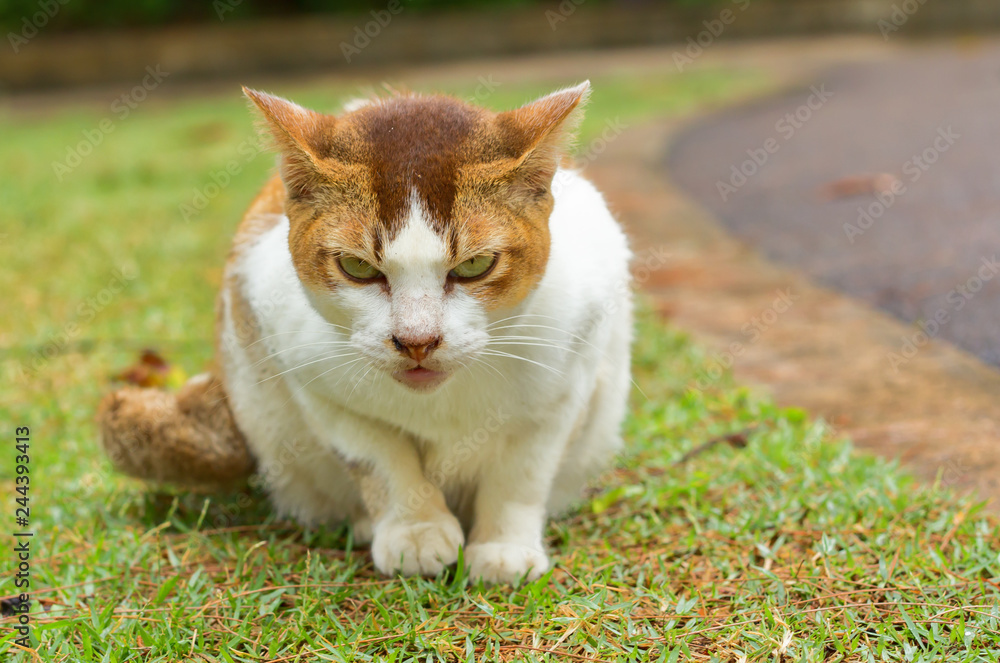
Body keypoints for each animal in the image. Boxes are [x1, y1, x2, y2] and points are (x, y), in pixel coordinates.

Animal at [99, 80, 632, 584]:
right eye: (356, 267)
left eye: (475, 265)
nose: (417, 341)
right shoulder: (305, 367)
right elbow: (378, 455)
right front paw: (415, 529)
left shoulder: (564, 382)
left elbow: (521, 475)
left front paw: (503, 545)